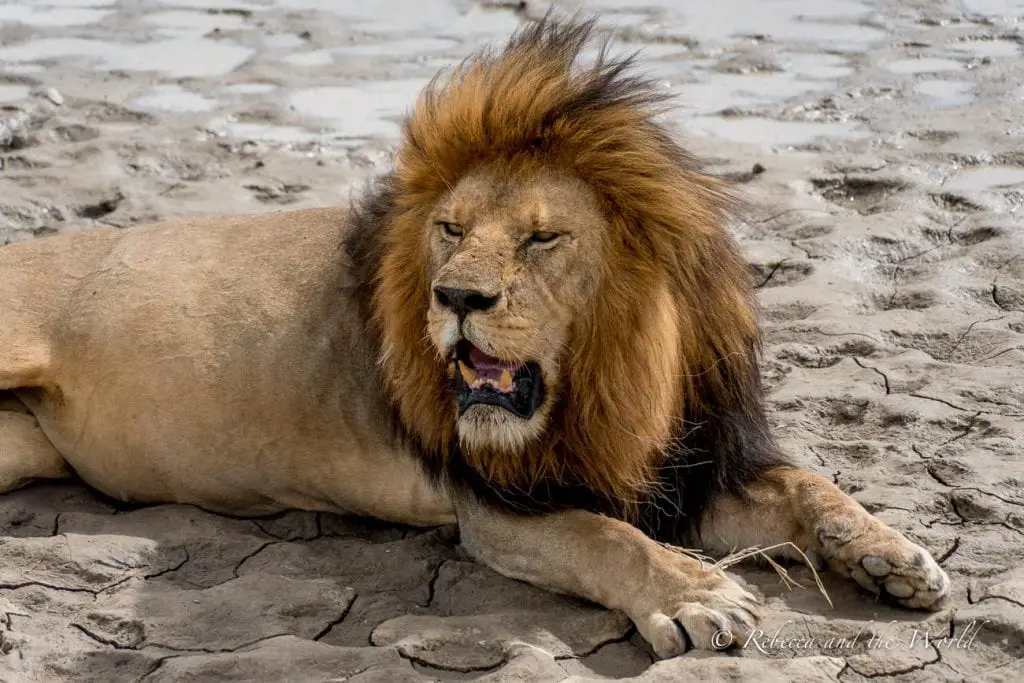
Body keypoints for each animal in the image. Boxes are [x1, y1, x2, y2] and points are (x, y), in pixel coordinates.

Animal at [0, 17, 946, 655]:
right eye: (450, 229)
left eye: (542, 237)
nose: (456, 295)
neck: (622, 375)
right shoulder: (497, 503)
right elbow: (605, 537)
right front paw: (698, 595)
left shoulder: (689, 463)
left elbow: (809, 484)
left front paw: (891, 555)